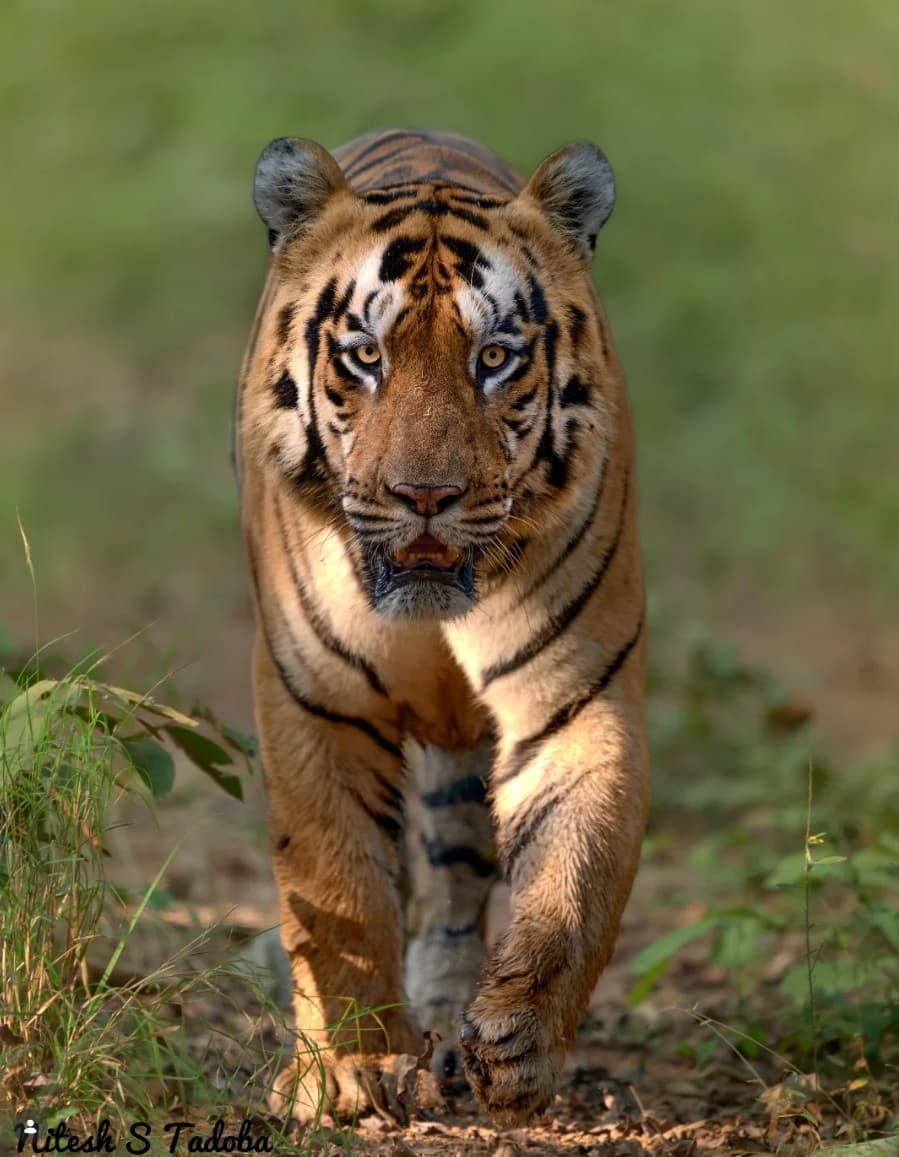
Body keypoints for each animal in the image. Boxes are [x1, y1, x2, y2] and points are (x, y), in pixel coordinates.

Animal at [235, 128, 648, 1126]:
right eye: (364, 354)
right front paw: (344, 1069)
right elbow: (337, 887)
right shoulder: (317, 700)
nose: (426, 496)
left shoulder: (576, 696)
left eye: (493, 356)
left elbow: (575, 874)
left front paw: (519, 1041)